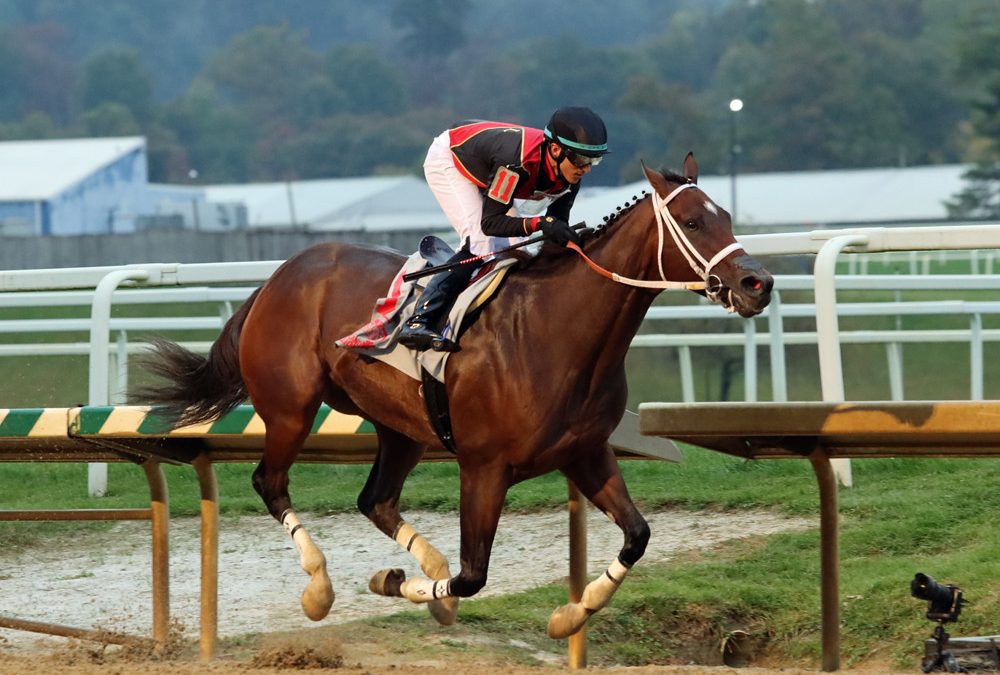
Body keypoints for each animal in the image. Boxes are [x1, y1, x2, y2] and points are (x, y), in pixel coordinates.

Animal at [137, 152, 773, 639]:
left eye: (726, 215)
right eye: (692, 221)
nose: (757, 283)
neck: (555, 332)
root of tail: (279, 276)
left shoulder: (586, 453)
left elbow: (638, 535)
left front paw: (570, 614)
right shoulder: (484, 467)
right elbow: (474, 574)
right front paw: (397, 582)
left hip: (399, 428)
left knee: (375, 500)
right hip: (290, 411)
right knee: (271, 483)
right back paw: (320, 588)